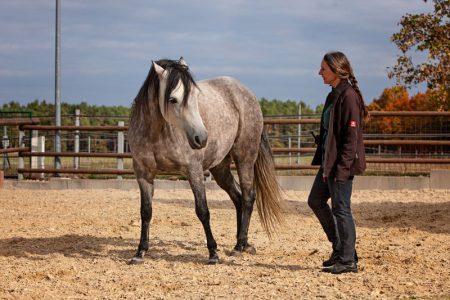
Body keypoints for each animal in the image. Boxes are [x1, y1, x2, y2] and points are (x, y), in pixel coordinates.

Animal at [127, 57, 282, 264]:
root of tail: (247, 93)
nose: (201, 138)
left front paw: (213, 253)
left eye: (194, 97)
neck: (156, 133)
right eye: (172, 99)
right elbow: (146, 212)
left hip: (245, 159)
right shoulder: (143, 173)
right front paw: (140, 252)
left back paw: (240, 245)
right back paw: (243, 242)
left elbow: (202, 210)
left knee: (249, 197)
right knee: (238, 197)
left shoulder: (193, 171)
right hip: (220, 168)